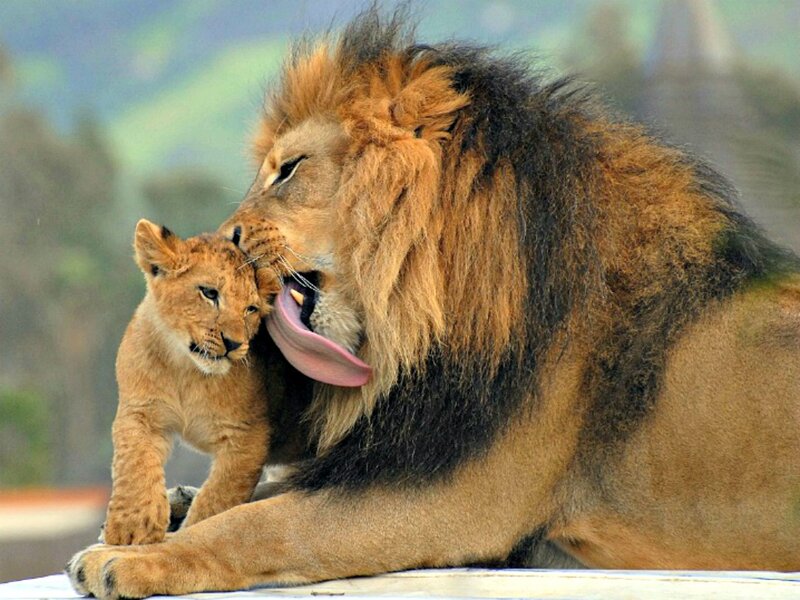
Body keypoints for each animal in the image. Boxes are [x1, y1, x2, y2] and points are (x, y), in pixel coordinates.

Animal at [101, 220, 279, 546]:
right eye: (209, 293)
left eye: (251, 309)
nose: (234, 344)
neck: (186, 370)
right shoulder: (140, 411)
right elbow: (134, 462)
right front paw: (132, 528)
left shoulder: (248, 435)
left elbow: (218, 499)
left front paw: (193, 534)